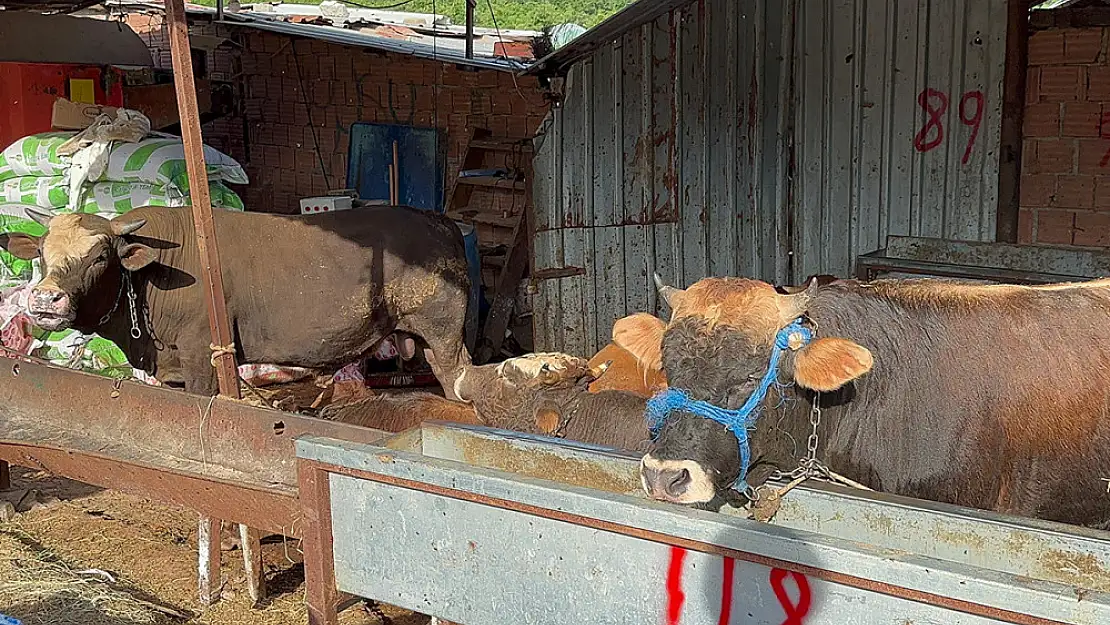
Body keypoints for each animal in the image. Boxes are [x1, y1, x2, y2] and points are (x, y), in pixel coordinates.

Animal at [0, 206, 472, 401]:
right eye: (41, 251)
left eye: (100, 255)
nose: (45, 297)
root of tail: (440, 222)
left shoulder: (201, 358)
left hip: (445, 338)